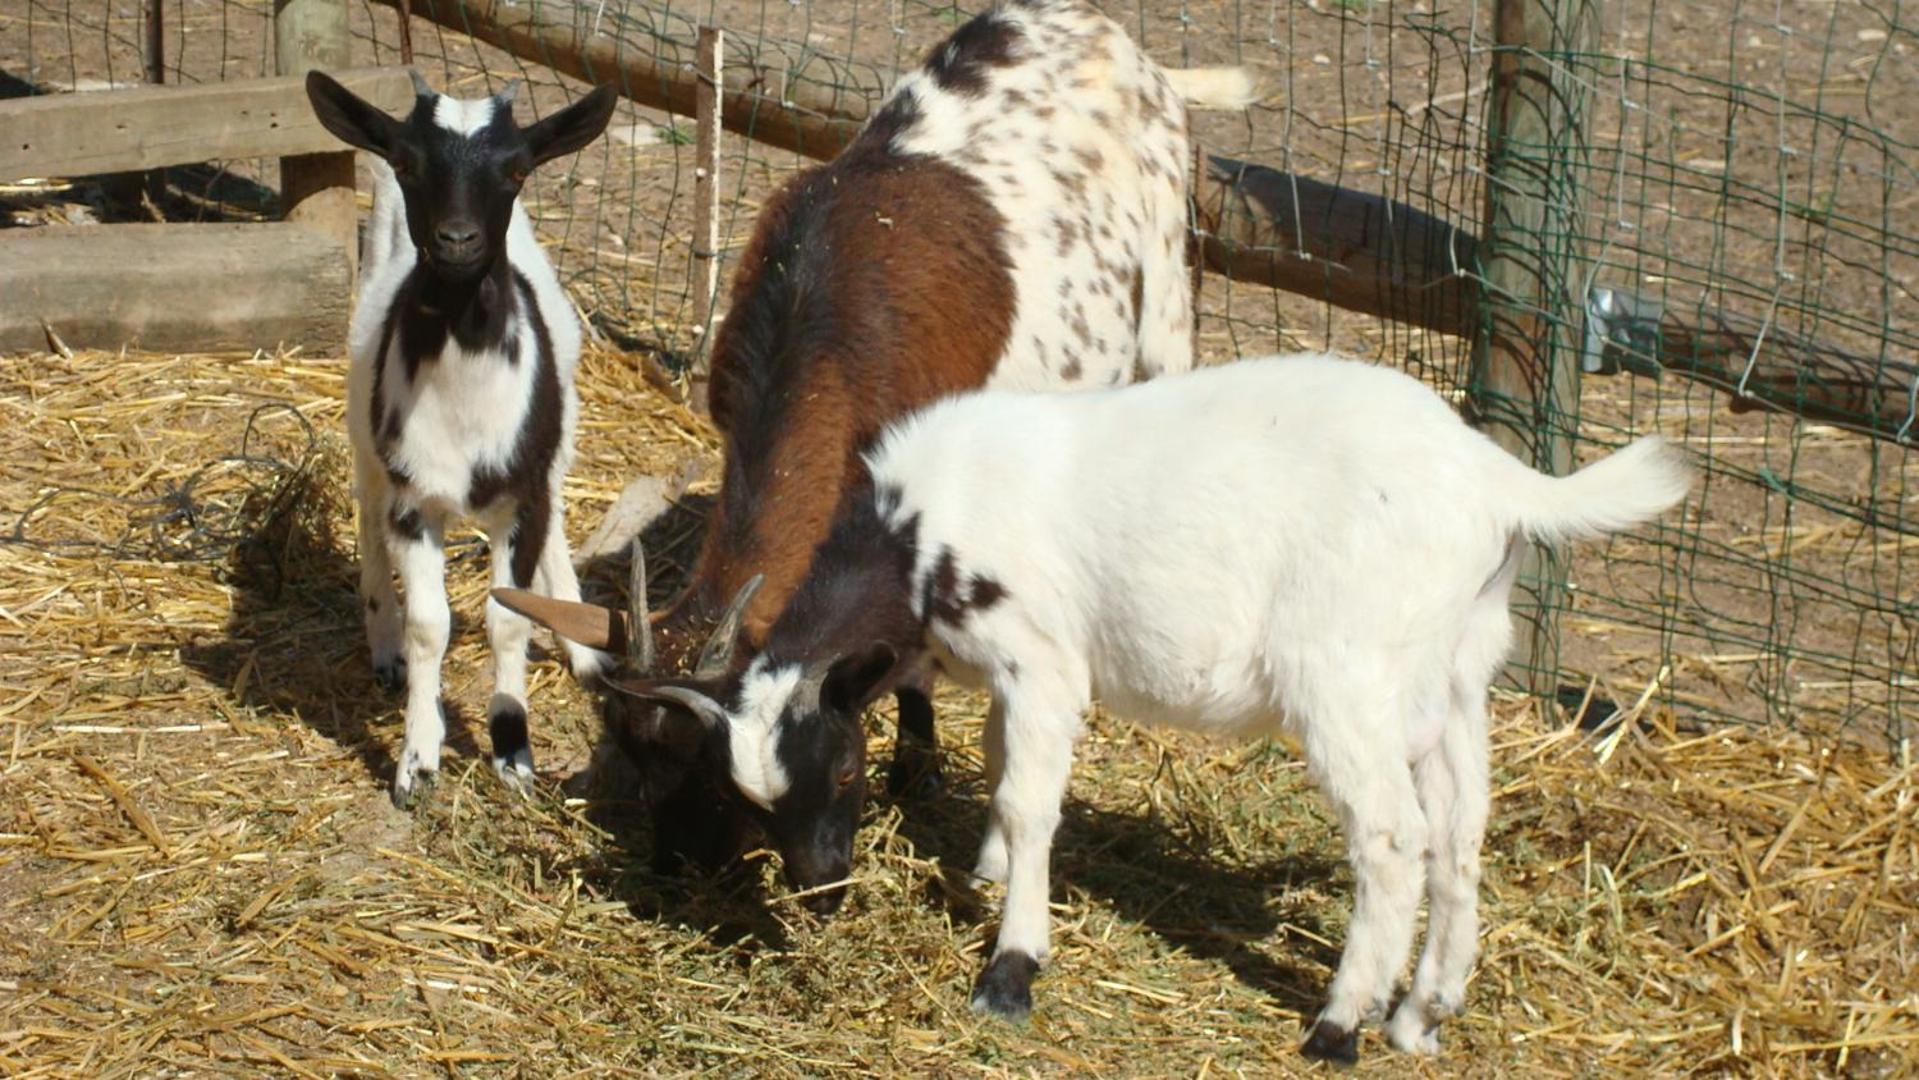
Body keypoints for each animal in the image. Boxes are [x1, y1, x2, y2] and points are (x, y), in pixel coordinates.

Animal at [308, 71, 614, 805]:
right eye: (407, 162)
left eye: (517, 168)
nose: (456, 240)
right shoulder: (413, 499)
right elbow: (430, 625)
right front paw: (416, 761)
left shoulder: (524, 492)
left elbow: (510, 616)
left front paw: (513, 751)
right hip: (366, 437)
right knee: (367, 519)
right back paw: (383, 643)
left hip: (556, 442)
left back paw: (582, 642)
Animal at [506, 2, 1258, 905]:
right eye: (635, 749)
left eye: (710, 774)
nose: (683, 864)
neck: (822, 332)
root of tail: (1109, 37)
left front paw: (918, 765)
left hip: (1169, 290)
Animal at [533, 356, 1688, 1066]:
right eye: (744, 795)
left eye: (851, 770)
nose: (821, 887)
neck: (919, 533)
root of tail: (1492, 480)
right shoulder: (1007, 675)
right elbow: (1002, 768)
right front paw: (982, 875)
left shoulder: (1042, 658)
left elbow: (1030, 796)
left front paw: (1010, 966)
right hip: (1454, 666)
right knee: (1459, 830)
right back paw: (1424, 1013)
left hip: (1346, 673)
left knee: (1393, 838)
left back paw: (1340, 1024)